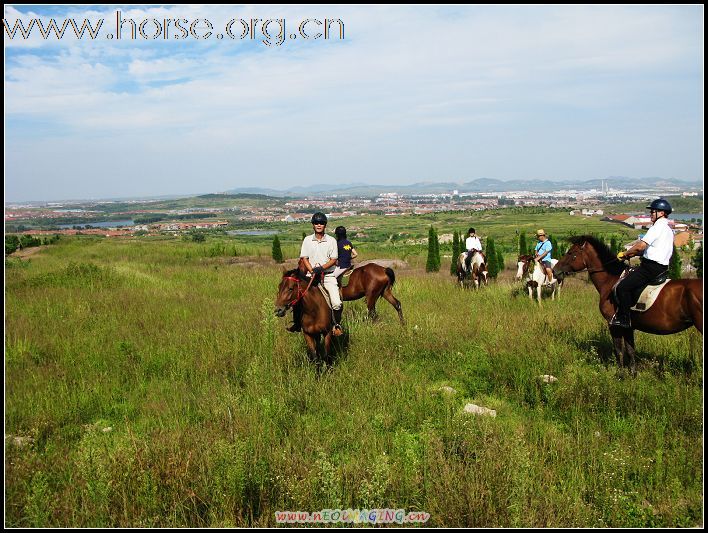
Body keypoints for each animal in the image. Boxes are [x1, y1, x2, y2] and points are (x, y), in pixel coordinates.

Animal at [552, 235, 704, 376]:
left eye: (570, 253)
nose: (555, 271)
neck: (610, 281)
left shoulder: (614, 324)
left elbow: (618, 349)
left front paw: (620, 374)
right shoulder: (629, 326)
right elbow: (630, 350)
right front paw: (633, 374)